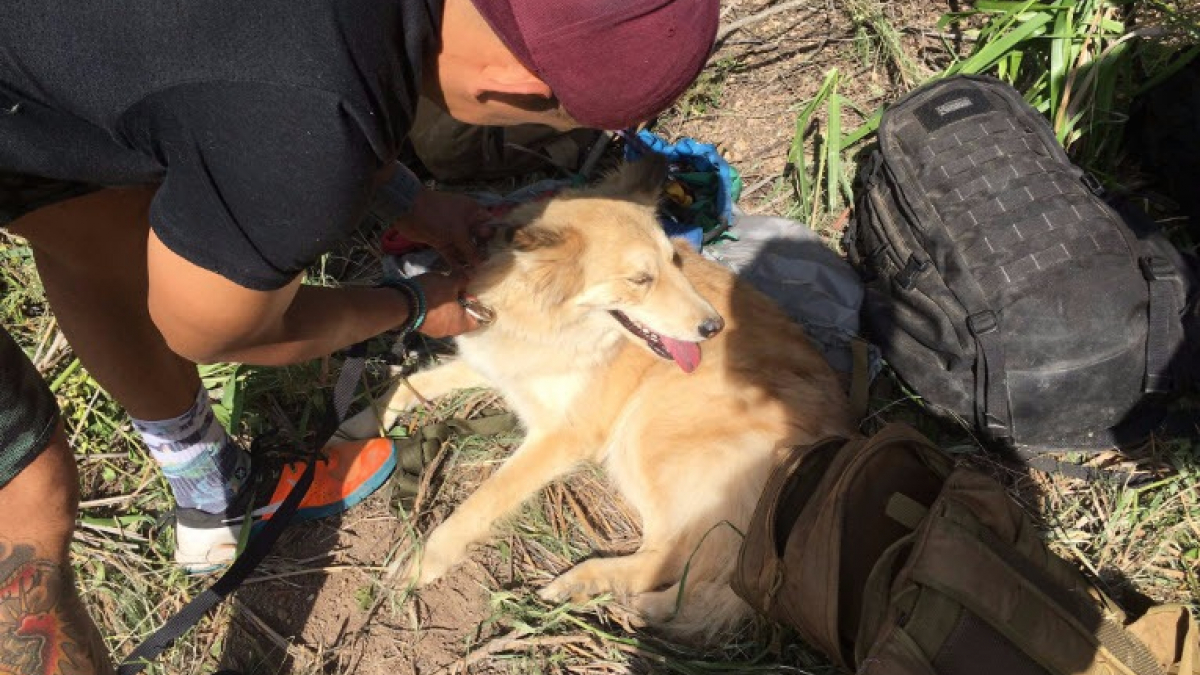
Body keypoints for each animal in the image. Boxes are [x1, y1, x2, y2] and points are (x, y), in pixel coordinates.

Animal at [333, 157, 849, 638]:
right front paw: (356, 424)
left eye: (675, 262)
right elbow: (408, 383)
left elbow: (480, 501)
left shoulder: (563, 436)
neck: (551, 323)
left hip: (646, 433)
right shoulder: (494, 364)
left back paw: (594, 586)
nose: (715, 327)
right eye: (641, 279)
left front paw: (422, 562)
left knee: (673, 559)